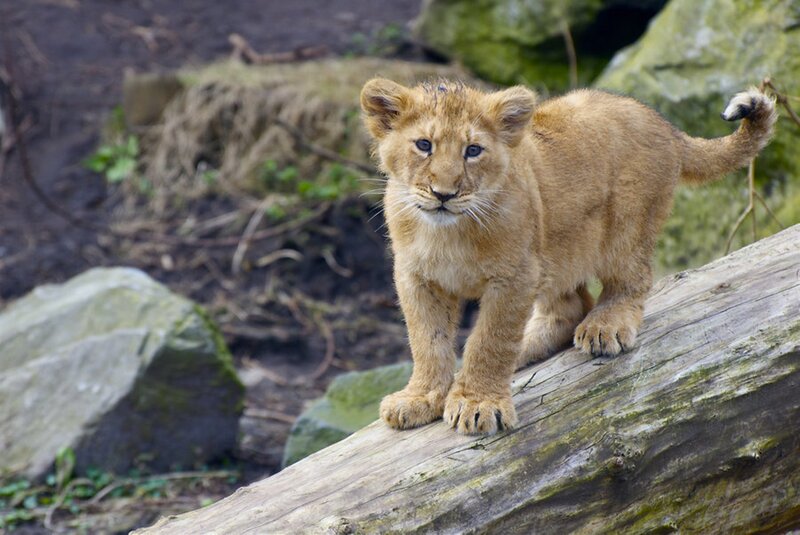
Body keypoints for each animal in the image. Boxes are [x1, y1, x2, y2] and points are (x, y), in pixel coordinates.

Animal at [360, 78, 776, 435]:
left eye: (473, 151)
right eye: (423, 145)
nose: (443, 194)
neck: (446, 232)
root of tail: (664, 124)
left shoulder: (515, 276)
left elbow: (491, 339)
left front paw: (478, 404)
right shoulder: (416, 277)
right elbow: (426, 341)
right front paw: (420, 399)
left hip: (624, 230)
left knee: (631, 281)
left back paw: (605, 326)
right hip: (558, 252)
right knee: (571, 305)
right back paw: (528, 346)